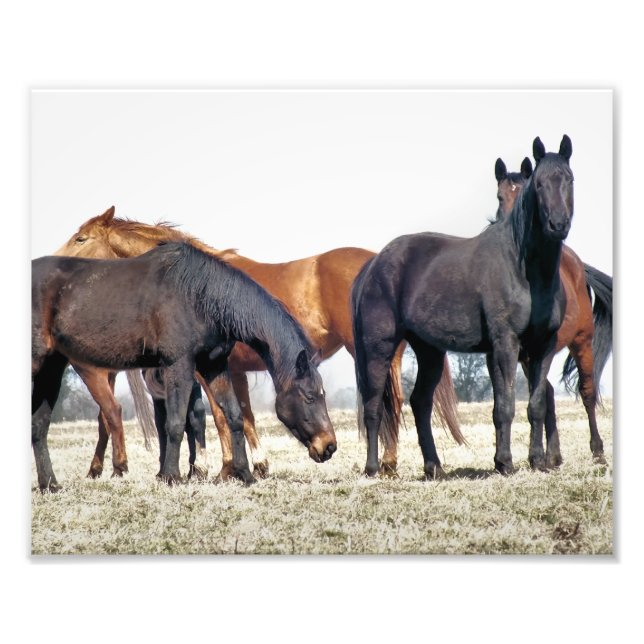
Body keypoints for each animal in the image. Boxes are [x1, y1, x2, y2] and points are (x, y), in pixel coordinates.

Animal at [32, 242, 337, 491]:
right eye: (309, 396)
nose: (329, 446)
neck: (199, 296)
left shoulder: (214, 365)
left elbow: (234, 416)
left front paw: (244, 474)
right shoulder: (178, 365)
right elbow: (176, 422)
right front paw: (171, 476)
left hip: (52, 368)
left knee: (40, 424)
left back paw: (50, 485)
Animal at [54, 209, 463, 479]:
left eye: (81, 238)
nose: (56, 262)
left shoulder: (208, 368)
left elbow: (217, 417)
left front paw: (225, 469)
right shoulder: (230, 370)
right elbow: (238, 416)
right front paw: (250, 465)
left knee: (389, 400)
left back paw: (386, 464)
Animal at [352, 135, 576, 478]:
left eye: (569, 179)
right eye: (538, 184)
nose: (558, 224)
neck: (523, 267)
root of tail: (373, 265)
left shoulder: (543, 346)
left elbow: (536, 404)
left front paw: (536, 461)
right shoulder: (505, 344)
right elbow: (505, 405)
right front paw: (506, 463)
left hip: (429, 351)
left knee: (420, 402)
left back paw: (434, 468)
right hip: (379, 347)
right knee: (374, 405)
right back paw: (373, 468)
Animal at [494, 156, 612, 464]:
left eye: (525, 193)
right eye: (500, 196)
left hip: (581, 342)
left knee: (587, 390)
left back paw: (597, 451)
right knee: (546, 392)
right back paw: (553, 455)